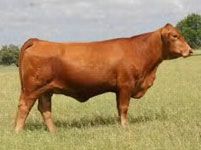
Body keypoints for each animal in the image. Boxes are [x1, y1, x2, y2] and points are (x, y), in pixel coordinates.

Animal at [14, 23, 192, 132]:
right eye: (175, 36)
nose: (189, 50)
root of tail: (38, 41)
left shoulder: (118, 89)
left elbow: (119, 108)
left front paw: (121, 124)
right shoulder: (126, 85)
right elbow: (124, 107)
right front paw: (125, 127)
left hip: (46, 90)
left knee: (45, 109)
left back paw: (54, 132)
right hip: (31, 88)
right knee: (24, 106)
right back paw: (18, 131)